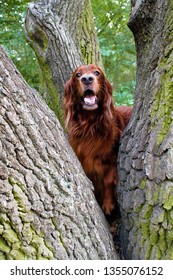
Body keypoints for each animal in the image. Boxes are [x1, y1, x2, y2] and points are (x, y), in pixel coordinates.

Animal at [63, 64, 132, 214]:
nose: (87, 79)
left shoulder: (112, 158)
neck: (90, 126)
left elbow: (107, 179)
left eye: (96, 73)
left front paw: (108, 204)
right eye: (78, 75)